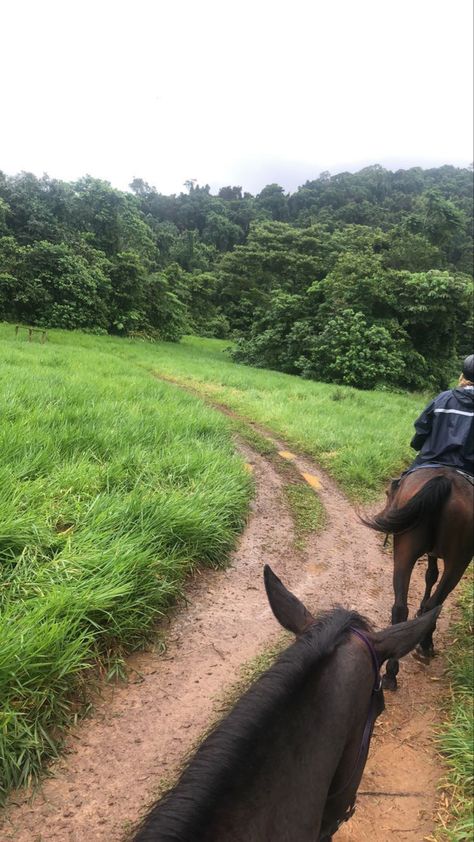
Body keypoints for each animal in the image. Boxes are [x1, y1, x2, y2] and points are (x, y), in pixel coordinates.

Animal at [364, 466, 472, 688]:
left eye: (387, 493)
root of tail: (446, 479)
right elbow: (431, 576)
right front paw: (421, 611)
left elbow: (431, 575)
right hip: (459, 562)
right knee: (434, 604)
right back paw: (425, 645)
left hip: (405, 551)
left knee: (400, 607)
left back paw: (390, 674)